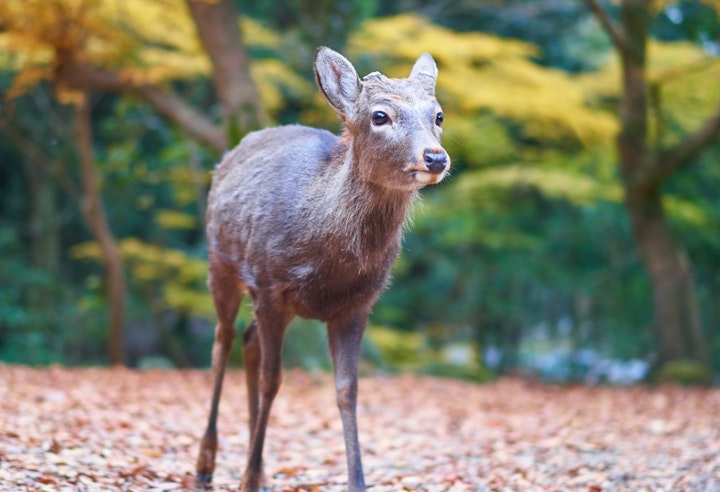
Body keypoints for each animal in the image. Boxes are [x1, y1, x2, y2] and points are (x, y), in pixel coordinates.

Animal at [194, 47, 448, 492]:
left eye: (438, 115)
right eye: (379, 116)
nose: (435, 157)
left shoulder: (358, 304)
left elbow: (347, 390)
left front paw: (357, 482)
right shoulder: (270, 285)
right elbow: (273, 380)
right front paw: (245, 478)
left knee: (248, 341)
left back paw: (259, 466)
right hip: (220, 261)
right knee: (222, 341)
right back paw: (207, 462)